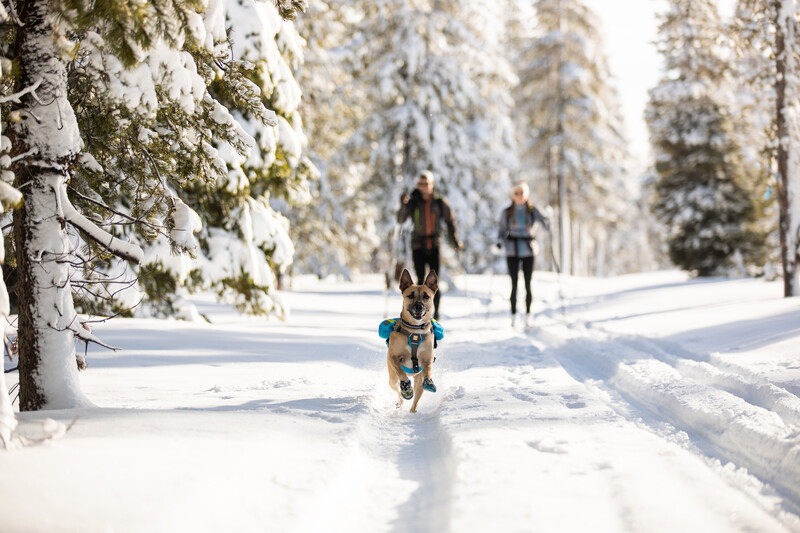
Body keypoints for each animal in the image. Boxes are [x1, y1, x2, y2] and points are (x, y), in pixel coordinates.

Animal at [386, 268, 438, 414]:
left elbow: (428, 369)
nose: (419, 306)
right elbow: (400, 371)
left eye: (426, 296)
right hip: (392, 380)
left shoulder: (427, 358)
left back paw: (413, 411)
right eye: (410, 295)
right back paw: (402, 397)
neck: (415, 330)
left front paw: (429, 381)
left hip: (418, 382)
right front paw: (406, 386)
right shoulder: (393, 357)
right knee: (398, 391)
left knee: (416, 400)